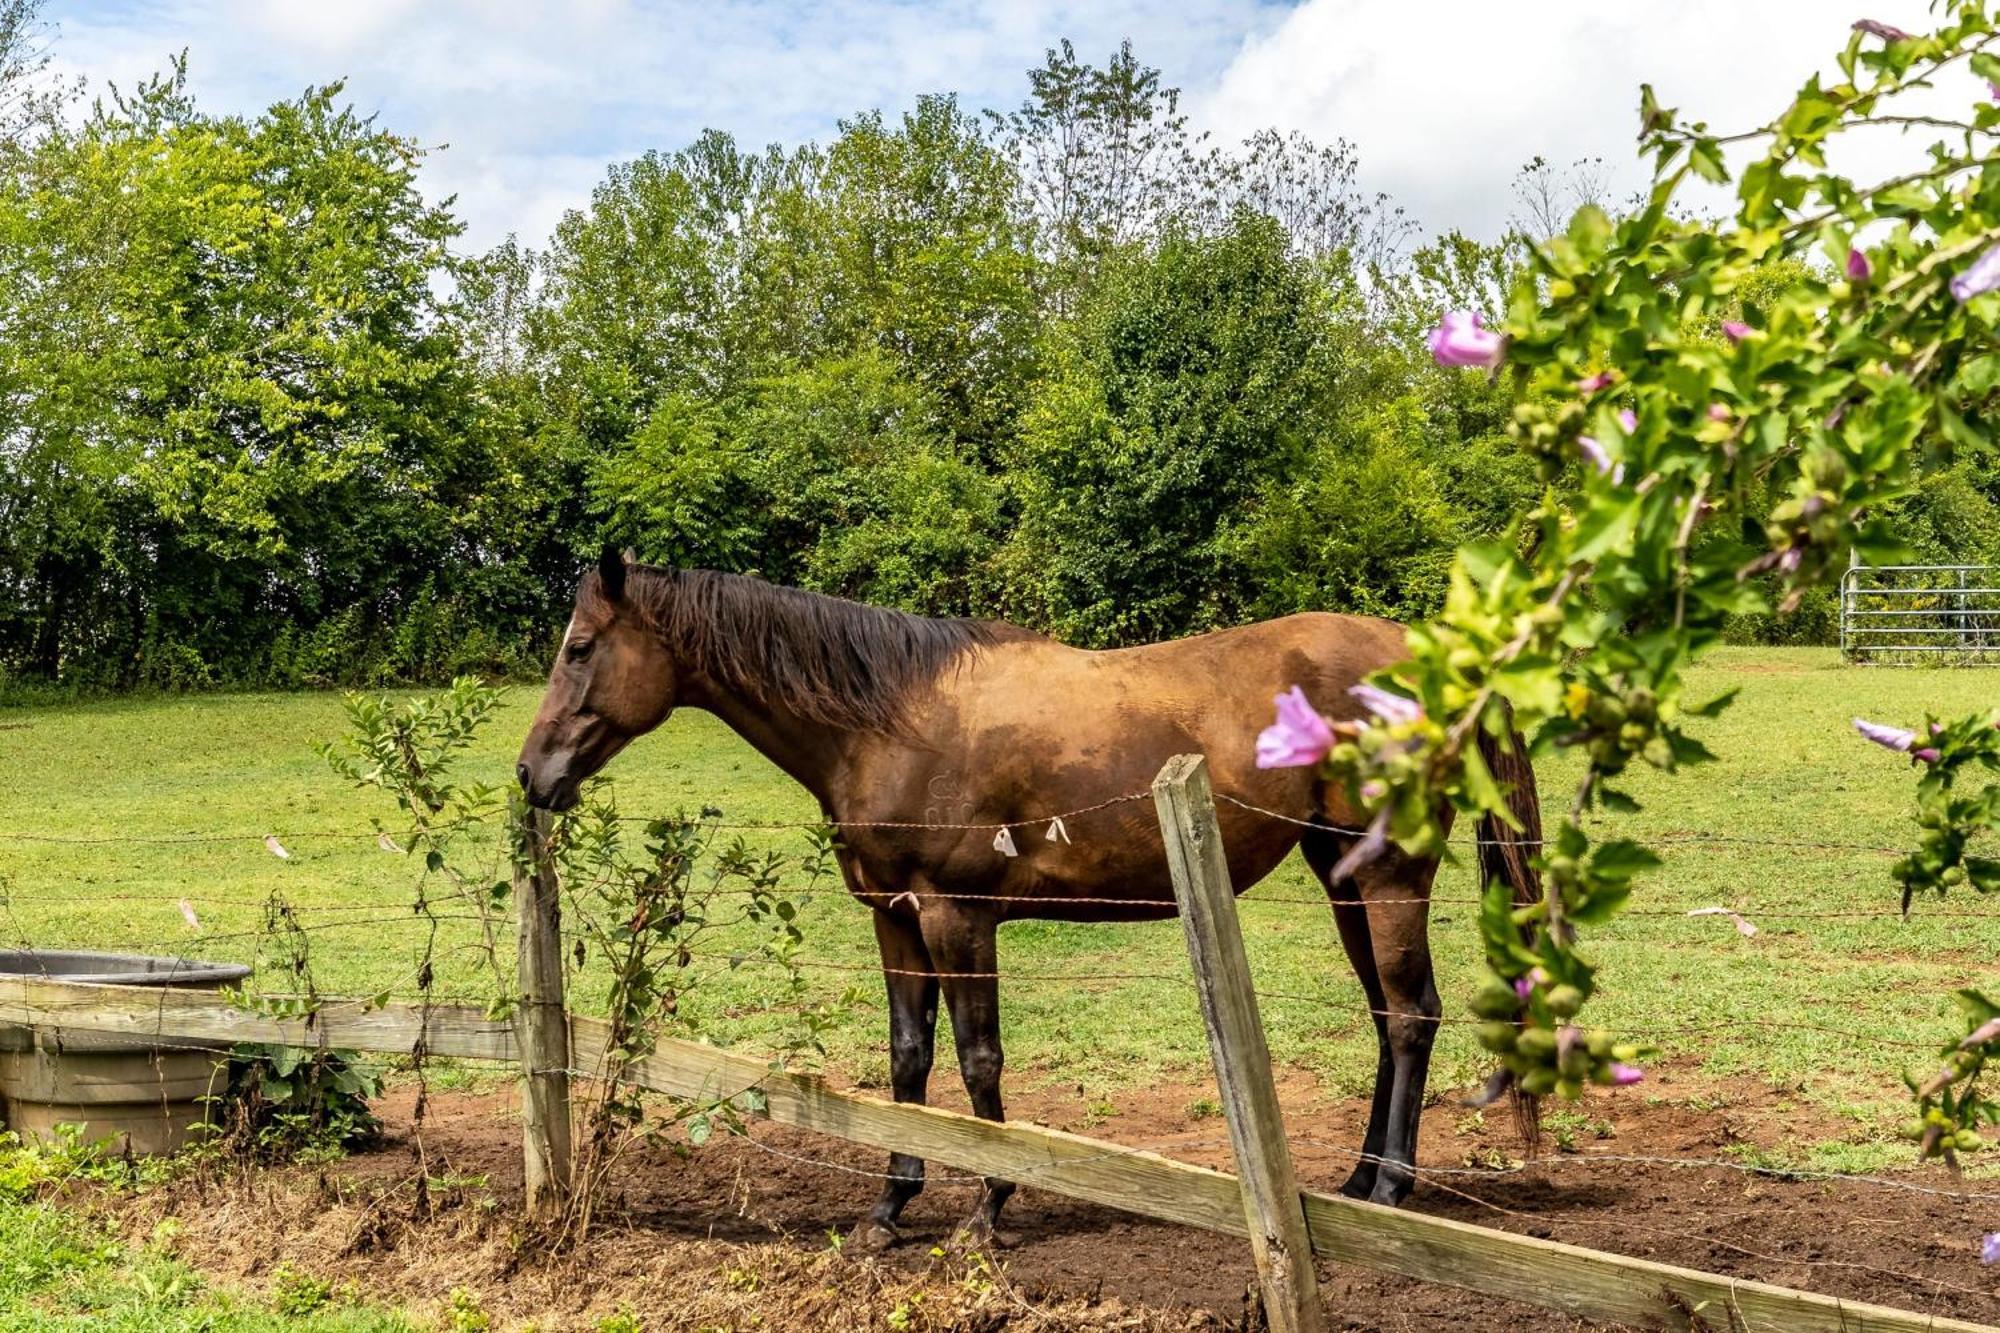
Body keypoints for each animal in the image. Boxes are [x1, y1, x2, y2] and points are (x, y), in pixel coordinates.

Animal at [520, 548, 1544, 1248]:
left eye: (581, 647)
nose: (533, 773)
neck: (890, 720)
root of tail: (1425, 654)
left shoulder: (956, 915)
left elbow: (978, 1063)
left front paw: (988, 1203)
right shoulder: (894, 917)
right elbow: (908, 1060)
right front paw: (890, 1204)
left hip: (1390, 878)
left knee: (1411, 1015)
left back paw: (1393, 1187)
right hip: (1343, 879)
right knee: (1385, 1018)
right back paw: (1360, 1180)